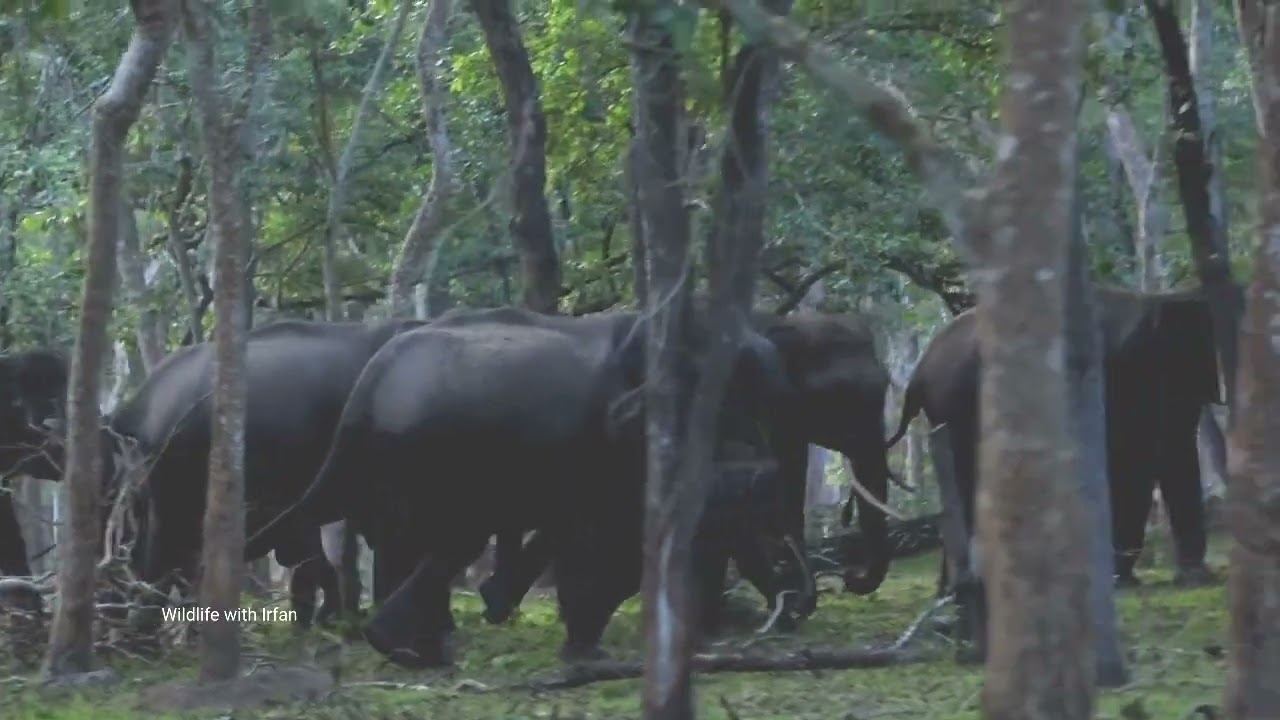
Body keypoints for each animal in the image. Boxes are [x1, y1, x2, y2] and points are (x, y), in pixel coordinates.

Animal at [244, 305, 795, 667]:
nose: (762, 464)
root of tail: (369, 383)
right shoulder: (600, 438)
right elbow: (601, 534)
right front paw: (582, 649)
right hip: (431, 455)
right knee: (443, 543)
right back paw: (410, 649)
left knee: (417, 544)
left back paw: (411, 646)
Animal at [886, 285, 1222, 590]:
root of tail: (918, 373)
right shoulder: (1137, 371)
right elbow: (1143, 461)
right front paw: (1125, 579)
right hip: (958, 405)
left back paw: (953, 587)